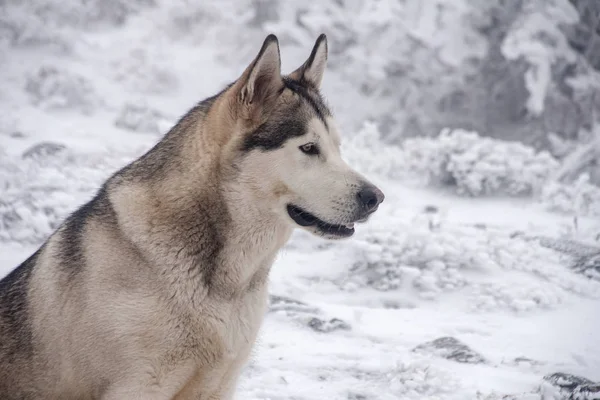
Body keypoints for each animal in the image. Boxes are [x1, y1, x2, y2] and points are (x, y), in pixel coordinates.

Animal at [0, 32, 384, 398]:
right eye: (308, 148)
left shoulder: (217, 385)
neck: (225, 282)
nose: (376, 198)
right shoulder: (139, 386)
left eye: (337, 147)